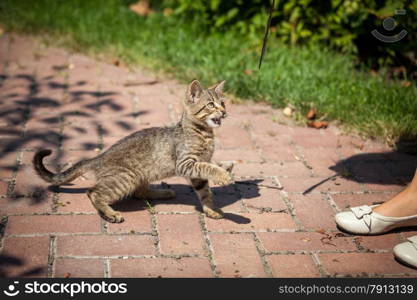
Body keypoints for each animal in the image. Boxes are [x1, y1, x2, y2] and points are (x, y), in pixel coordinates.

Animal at [33, 79, 232, 223]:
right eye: (211, 105)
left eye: (223, 103)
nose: (224, 112)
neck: (204, 134)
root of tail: (100, 157)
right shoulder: (186, 163)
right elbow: (209, 168)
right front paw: (224, 175)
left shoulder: (196, 170)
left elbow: (205, 191)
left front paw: (211, 209)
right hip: (126, 178)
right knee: (93, 192)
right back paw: (110, 213)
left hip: (140, 176)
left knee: (139, 192)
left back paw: (163, 193)